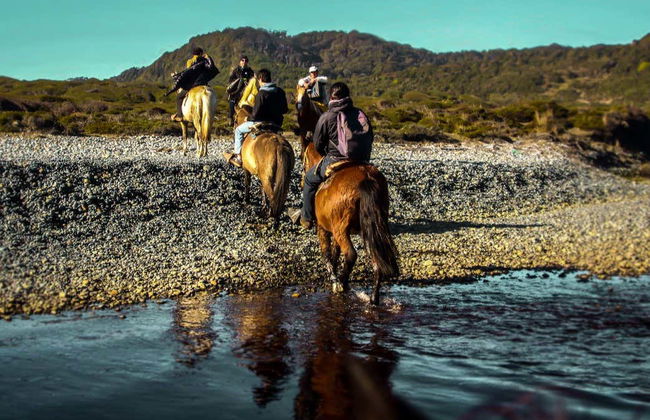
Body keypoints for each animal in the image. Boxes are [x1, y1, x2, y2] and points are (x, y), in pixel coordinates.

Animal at [302, 144, 399, 305]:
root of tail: (366, 178)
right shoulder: (335, 231)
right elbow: (335, 253)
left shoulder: (323, 229)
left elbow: (326, 253)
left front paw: (334, 280)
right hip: (370, 230)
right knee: (377, 260)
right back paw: (373, 298)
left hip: (342, 230)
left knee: (351, 254)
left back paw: (342, 283)